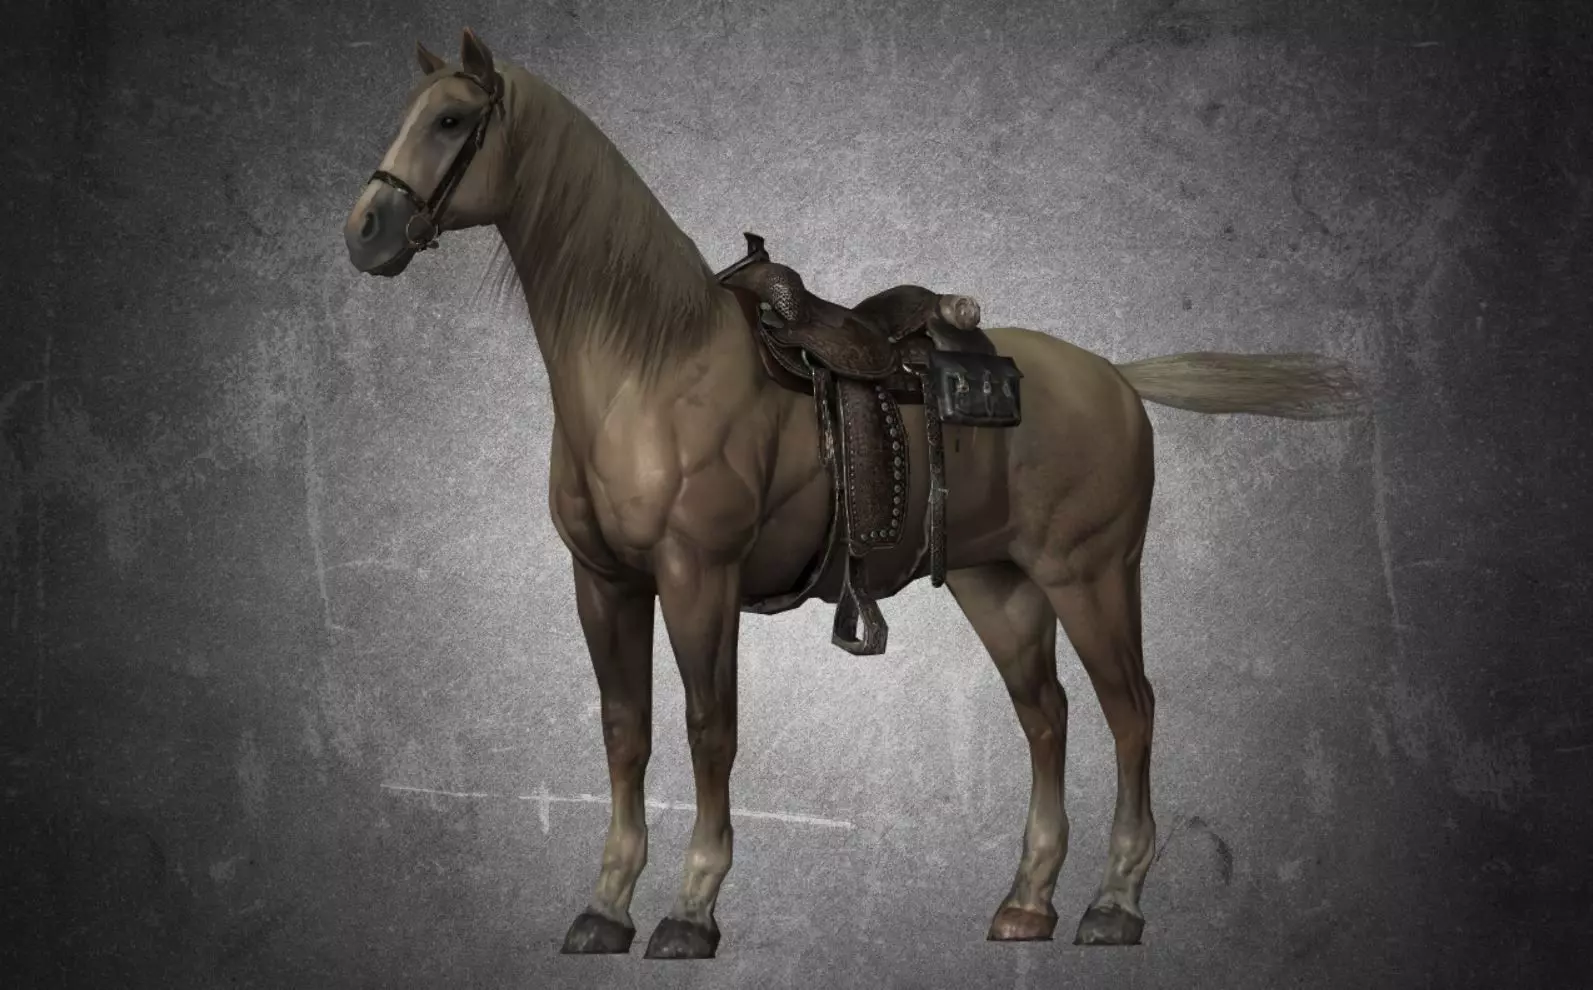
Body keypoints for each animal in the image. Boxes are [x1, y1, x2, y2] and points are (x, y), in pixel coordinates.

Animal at [341, 29, 1363, 960]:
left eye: (451, 120)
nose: (365, 232)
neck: (646, 366)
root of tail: (1114, 377)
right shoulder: (604, 581)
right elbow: (624, 731)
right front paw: (604, 909)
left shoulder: (697, 575)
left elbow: (708, 728)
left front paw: (691, 911)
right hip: (999, 585)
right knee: (1046, 715)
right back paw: (1026, 901)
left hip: (1093, 577)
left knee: (1131, 711)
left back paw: (1114, 904)